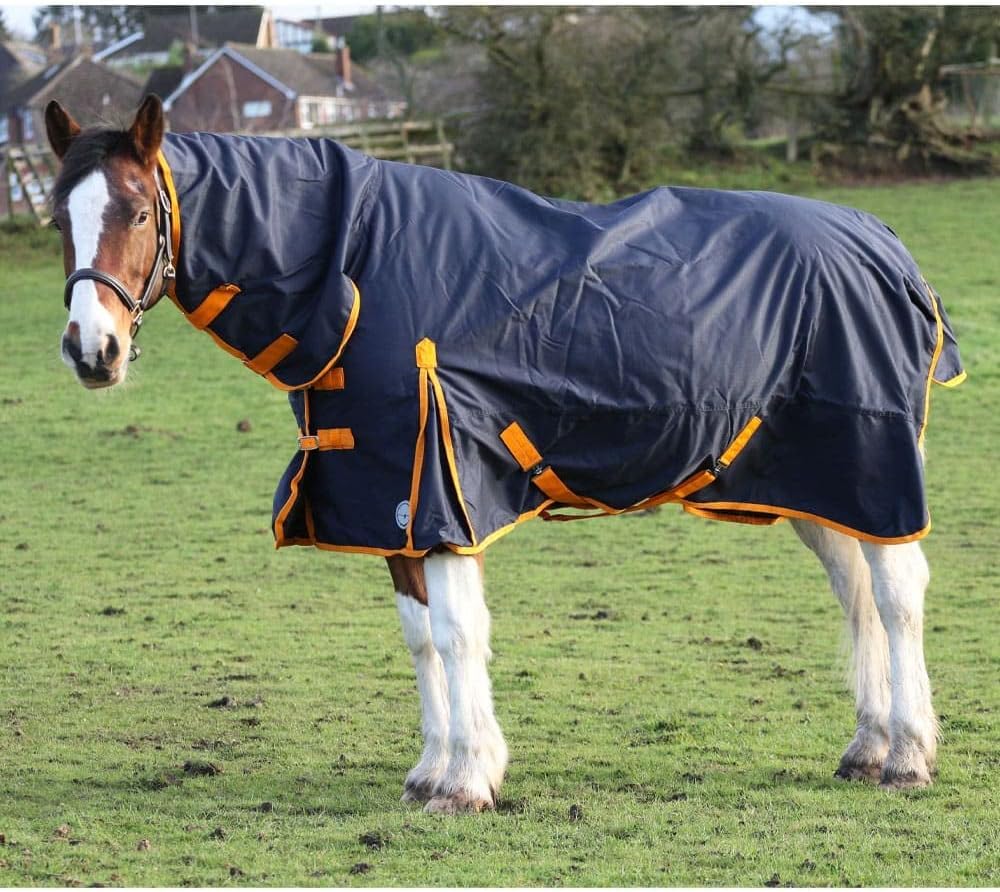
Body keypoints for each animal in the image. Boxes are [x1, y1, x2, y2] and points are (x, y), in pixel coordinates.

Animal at [45, 94, 964, 813]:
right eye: (58, 218)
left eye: (137, 211)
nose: (93, 350)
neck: (357, 271)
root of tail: (884, 243)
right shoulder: (387, 499)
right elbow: (420, 638)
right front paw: (432, 771)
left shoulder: (443, 490)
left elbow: (457, 634)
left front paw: (467, 781)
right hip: (817, 484)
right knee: (856, 594)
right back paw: (869, 747)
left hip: (871, 464)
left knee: (897, 595)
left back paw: (908, 756)